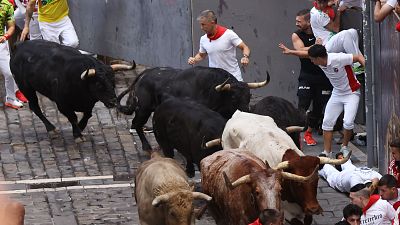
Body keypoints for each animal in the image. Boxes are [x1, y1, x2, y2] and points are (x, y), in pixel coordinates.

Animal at [117, 67, 270, 151]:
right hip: (143, 109)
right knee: (137, 124)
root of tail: (144, 75)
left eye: (249, 96)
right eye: (233, 97)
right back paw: (146, 147)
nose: (247, 113)